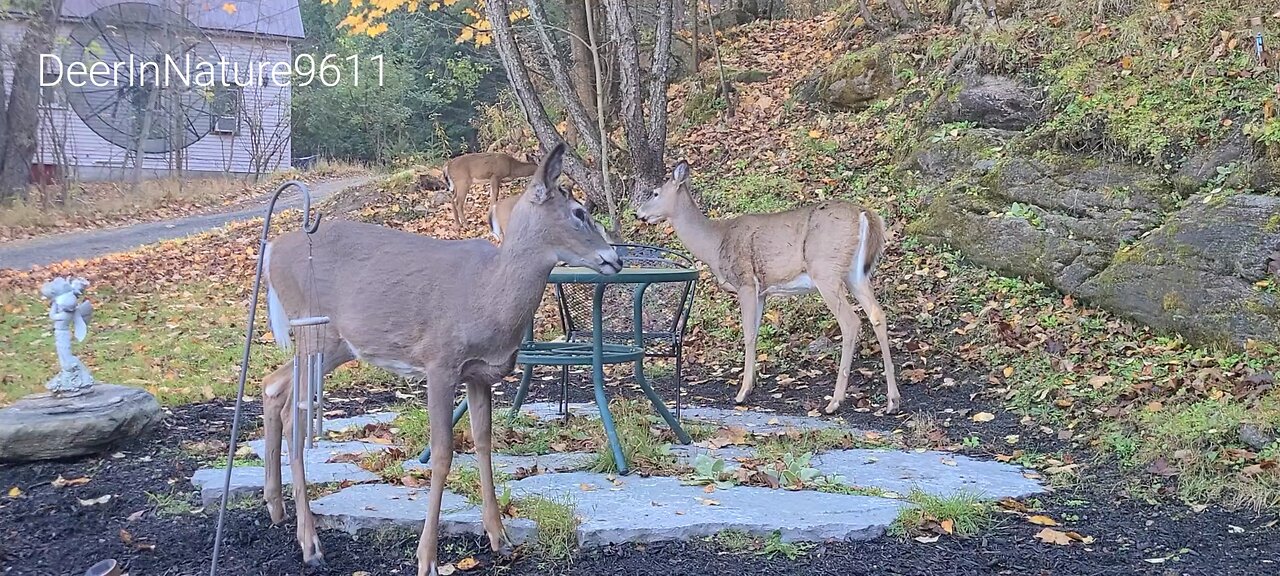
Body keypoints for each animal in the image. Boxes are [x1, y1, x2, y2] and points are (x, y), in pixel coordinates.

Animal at [259, 142, 619, 570]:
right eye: (579, 213)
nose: (615, 257)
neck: (488, 295)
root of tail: (271, 251)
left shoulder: (479, 374)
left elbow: (483, 442)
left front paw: (500, 538)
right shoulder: (439, 363)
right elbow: (444, 453)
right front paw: (427, 557)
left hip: (336, 344)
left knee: (272, 386)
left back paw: (276, 507)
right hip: (312, 331)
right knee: (292, 412)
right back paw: (310, 543)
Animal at [632, 160, 901, 414]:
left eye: (655, 193)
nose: (638, 213)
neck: (715, 243)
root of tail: (865, 215)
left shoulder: (746, 283)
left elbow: (749, 334)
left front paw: (742, 393)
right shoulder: (762, 291)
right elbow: (757, 331)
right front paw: (751, 385)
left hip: (826, 271)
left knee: (851, 322)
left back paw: (835, 402)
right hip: (856, 274)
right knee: (877, 314)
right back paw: (892, 401)